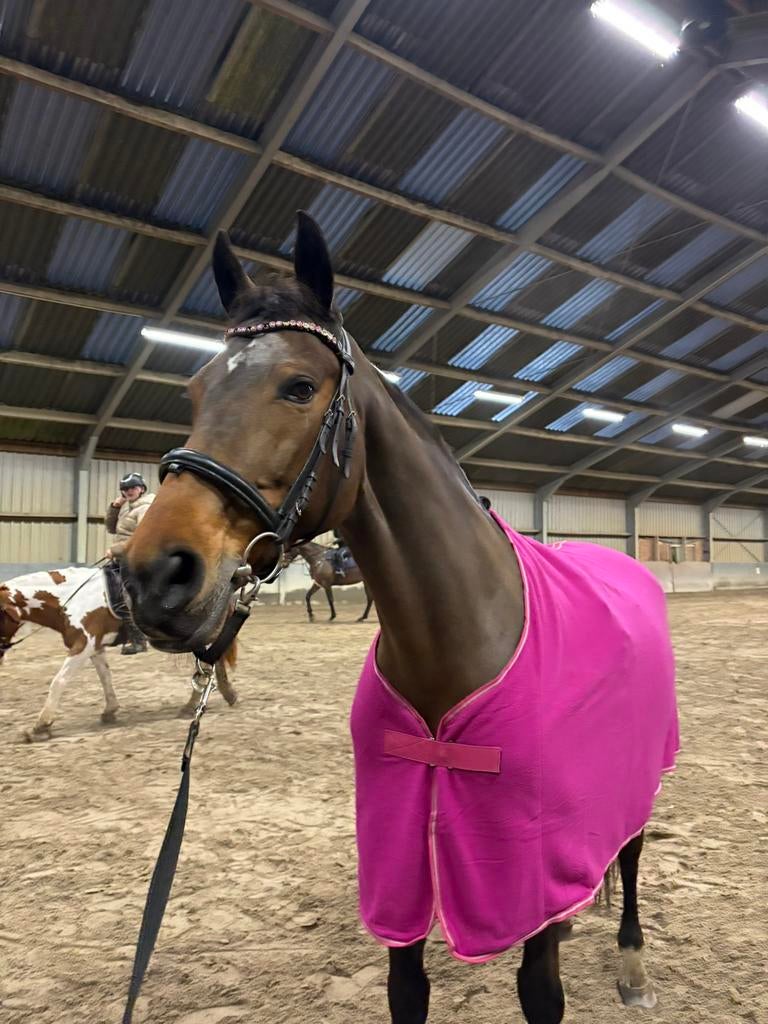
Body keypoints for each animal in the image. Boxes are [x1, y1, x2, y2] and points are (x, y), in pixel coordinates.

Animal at [0, 566, 238, 741]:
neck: (70, 599)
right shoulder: (95, 647)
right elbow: (105, 676)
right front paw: (110, 710)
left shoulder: (83, 645)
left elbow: (59, 681)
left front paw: (40, 727)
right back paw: (227, 694)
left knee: (208, 664)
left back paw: (192, 706)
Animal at [122, 212, 678, 1024]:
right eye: (195, 390)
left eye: (299, 386)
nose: (153, 575)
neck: (457, 641)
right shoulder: (399, 868)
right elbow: (406, 989)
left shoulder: (529, 870)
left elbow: (542, 991)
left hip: (636, 773)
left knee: (631, 854)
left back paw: (633, 964)